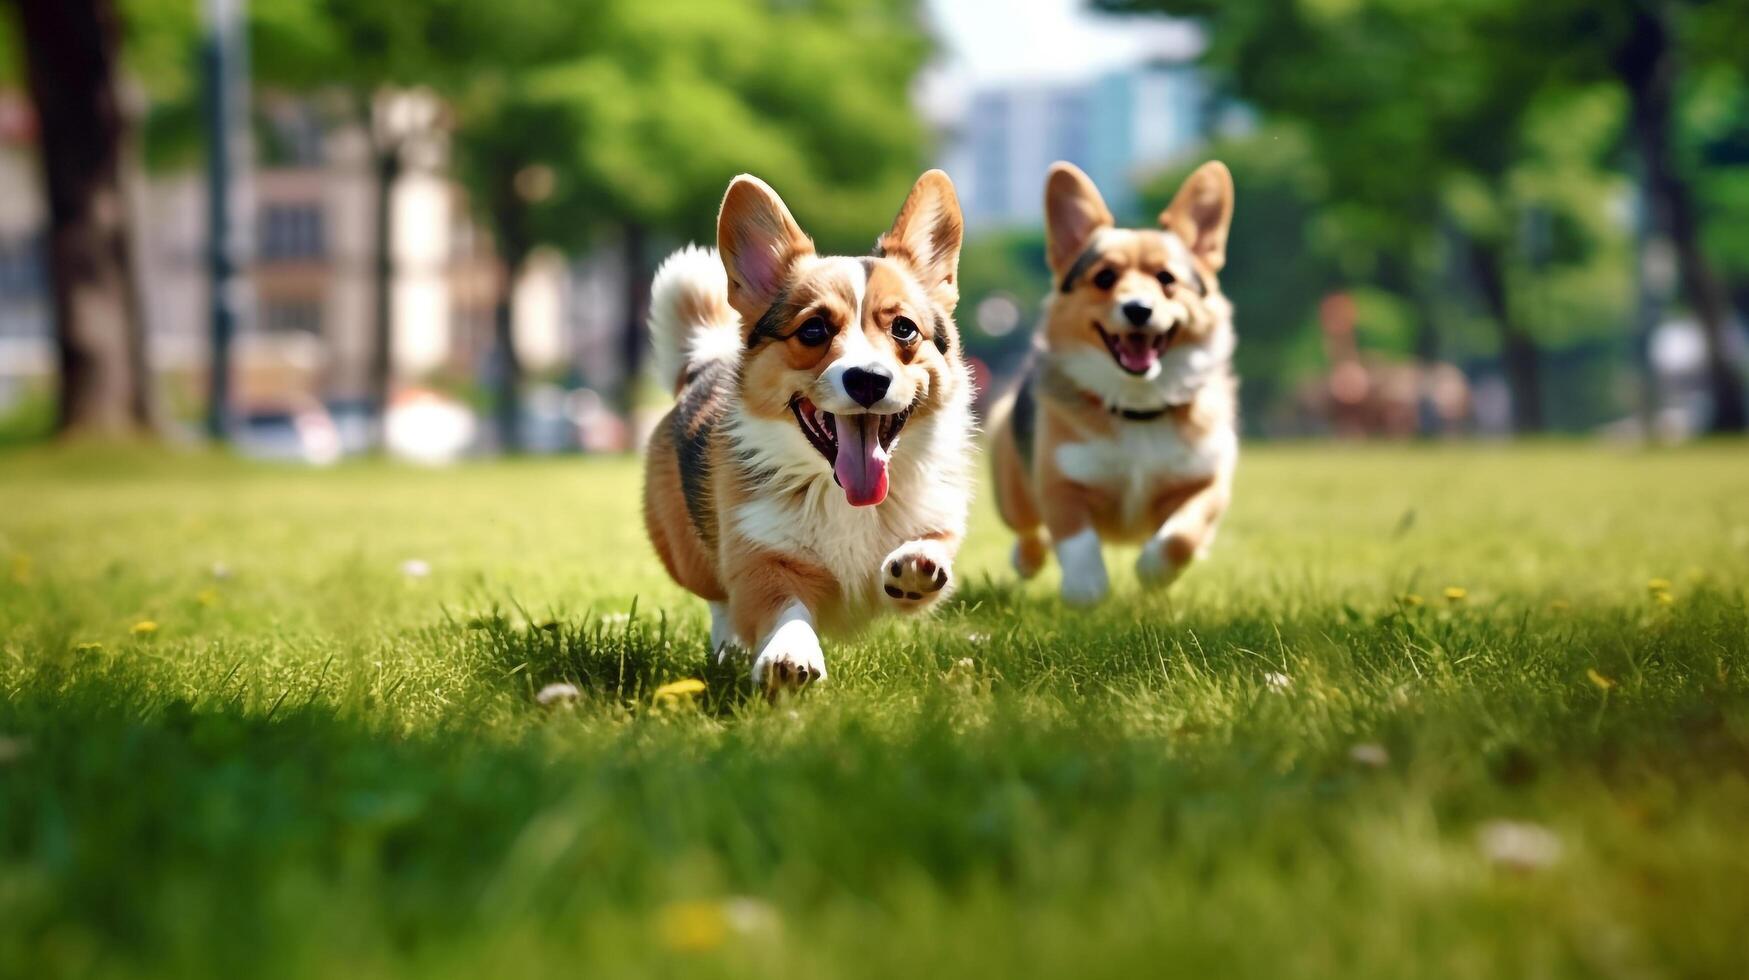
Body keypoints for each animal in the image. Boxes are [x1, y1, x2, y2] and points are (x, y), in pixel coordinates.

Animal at [643, 170, 979, 689]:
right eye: (814, 330)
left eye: (904, 329)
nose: (868, 380)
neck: (841, 494)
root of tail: (706, 363)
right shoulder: (762, 558)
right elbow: (783, 609)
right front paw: (788, 655)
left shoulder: (936, 517)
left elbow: (929, 548)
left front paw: (918, 564)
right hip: (689, 555)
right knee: (719, 599)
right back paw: (728, 649)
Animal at [993, 161, 1238, 605]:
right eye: (1105, 277)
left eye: (1166, 279)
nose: (1138, 309)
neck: (1138, 408)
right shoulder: (1061, 481)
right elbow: (1077, 540)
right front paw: (1086, 590)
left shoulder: (1207, 482)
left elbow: (1182, 535)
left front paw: (1153, 571)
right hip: (1009, 486)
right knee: (1029, 529)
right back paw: (1027, 560)